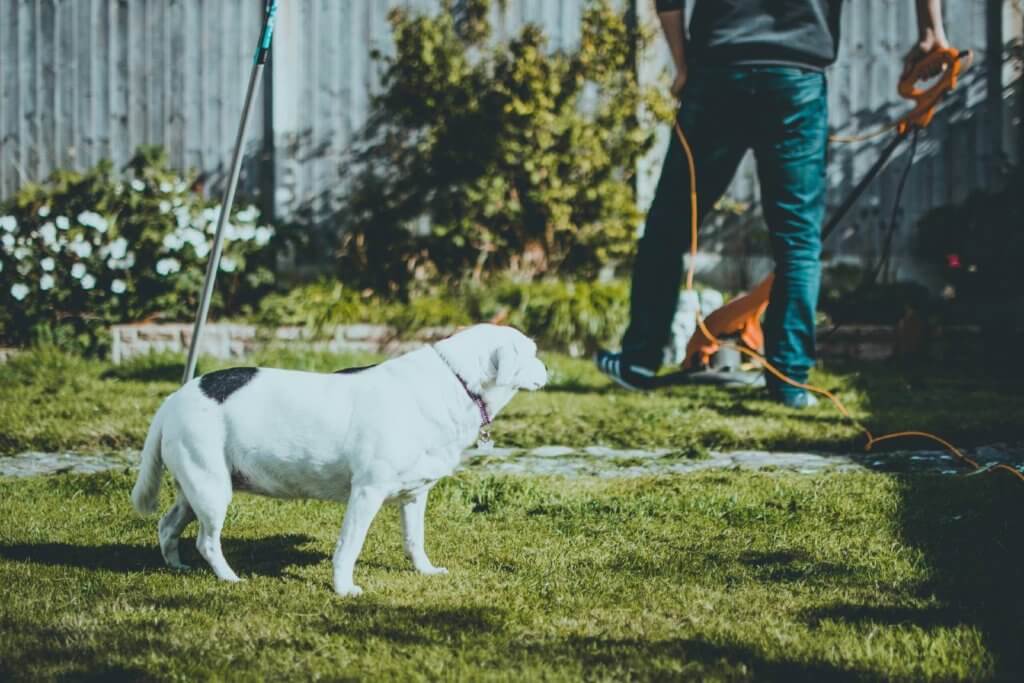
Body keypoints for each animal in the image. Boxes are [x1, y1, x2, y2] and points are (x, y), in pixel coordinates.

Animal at [132, 323, 548, 593]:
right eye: (532, 352)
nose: (547, 368)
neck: (455, 381)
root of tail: (173, 398)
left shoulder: (415, 495)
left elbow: (415, 540)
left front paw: (425, 570)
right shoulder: (366, 491)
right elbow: (349, 546)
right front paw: (344, 588)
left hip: (197, 487)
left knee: (168, 525)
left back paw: (177, 566)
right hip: (212, 488)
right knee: (207, 541)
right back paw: (229, 577)